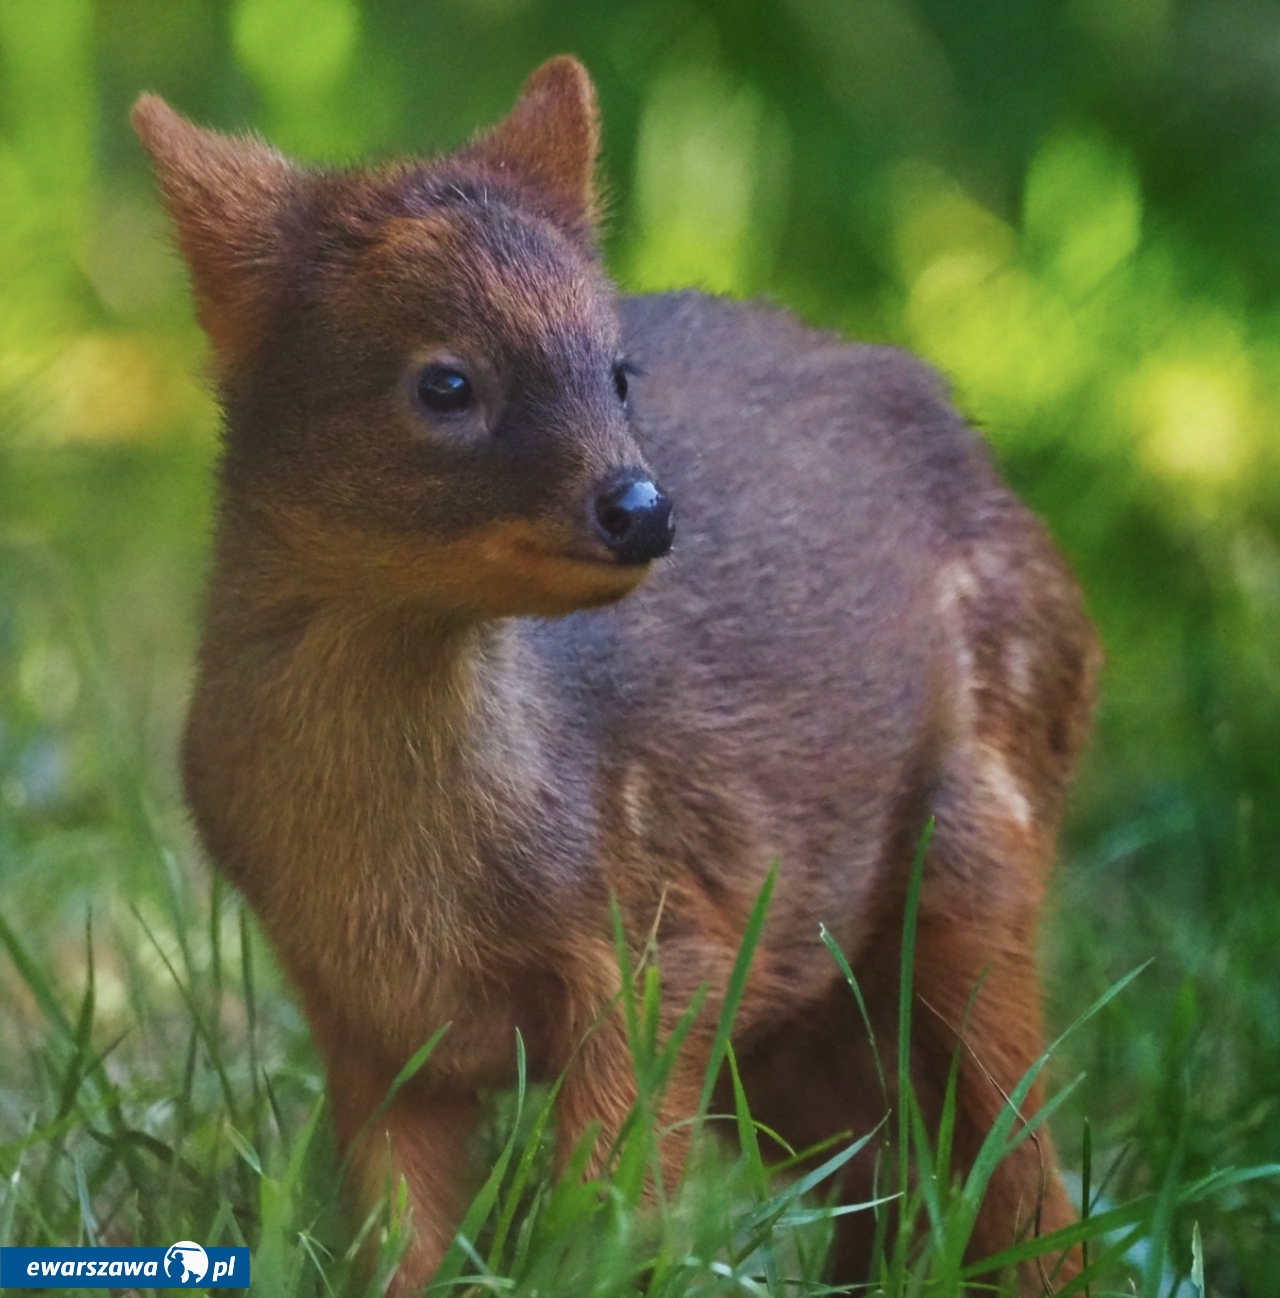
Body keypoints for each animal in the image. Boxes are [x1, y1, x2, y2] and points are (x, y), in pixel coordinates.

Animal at [136, 55, 1095, 1292]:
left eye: (617, 370)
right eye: (444, 383)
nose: (642, 507)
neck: (402, 878)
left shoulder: (663, 942)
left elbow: (605, 1207)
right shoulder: (363, 1016)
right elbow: (399, 1237)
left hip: (978, 835)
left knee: (1019, 1159)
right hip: (800, 1016)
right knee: (889, 1170)